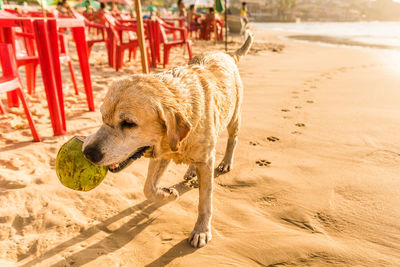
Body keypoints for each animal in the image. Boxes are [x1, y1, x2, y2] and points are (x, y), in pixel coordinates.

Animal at [83, 31, 255, 249]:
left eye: (128, 123)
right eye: (102, 117)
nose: (88, 153)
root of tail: (227, 54)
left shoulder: (206, 162)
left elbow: (205, 202)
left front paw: (201, 230)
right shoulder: (160, 155)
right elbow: (148, 189)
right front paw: (168, 194)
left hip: (233, 118)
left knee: (233, 139)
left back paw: (225, 163)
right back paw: (191, 171)